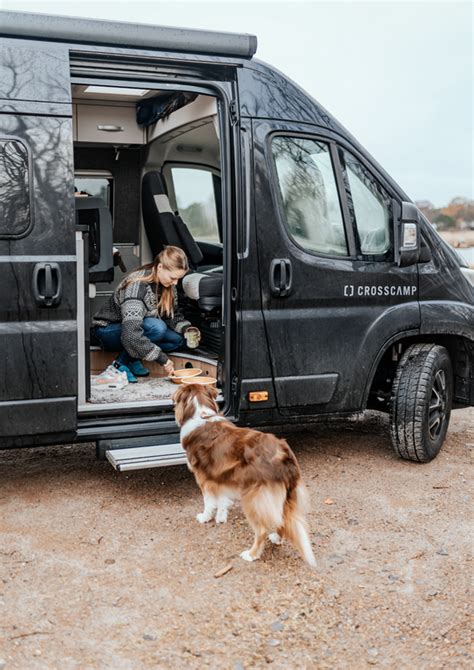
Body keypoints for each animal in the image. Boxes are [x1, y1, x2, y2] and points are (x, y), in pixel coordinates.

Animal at [172, 384, 316, 568]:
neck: (201, 413)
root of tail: (283, 454)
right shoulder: (221, 476)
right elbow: (222, 499)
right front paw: (221, 517)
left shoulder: (203, 478)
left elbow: (209, 502)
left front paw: (205, 517)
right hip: (287, 496)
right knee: (282, 520)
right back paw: (276, 538)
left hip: (253, 497)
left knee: (262, 529)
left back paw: (251, 554)